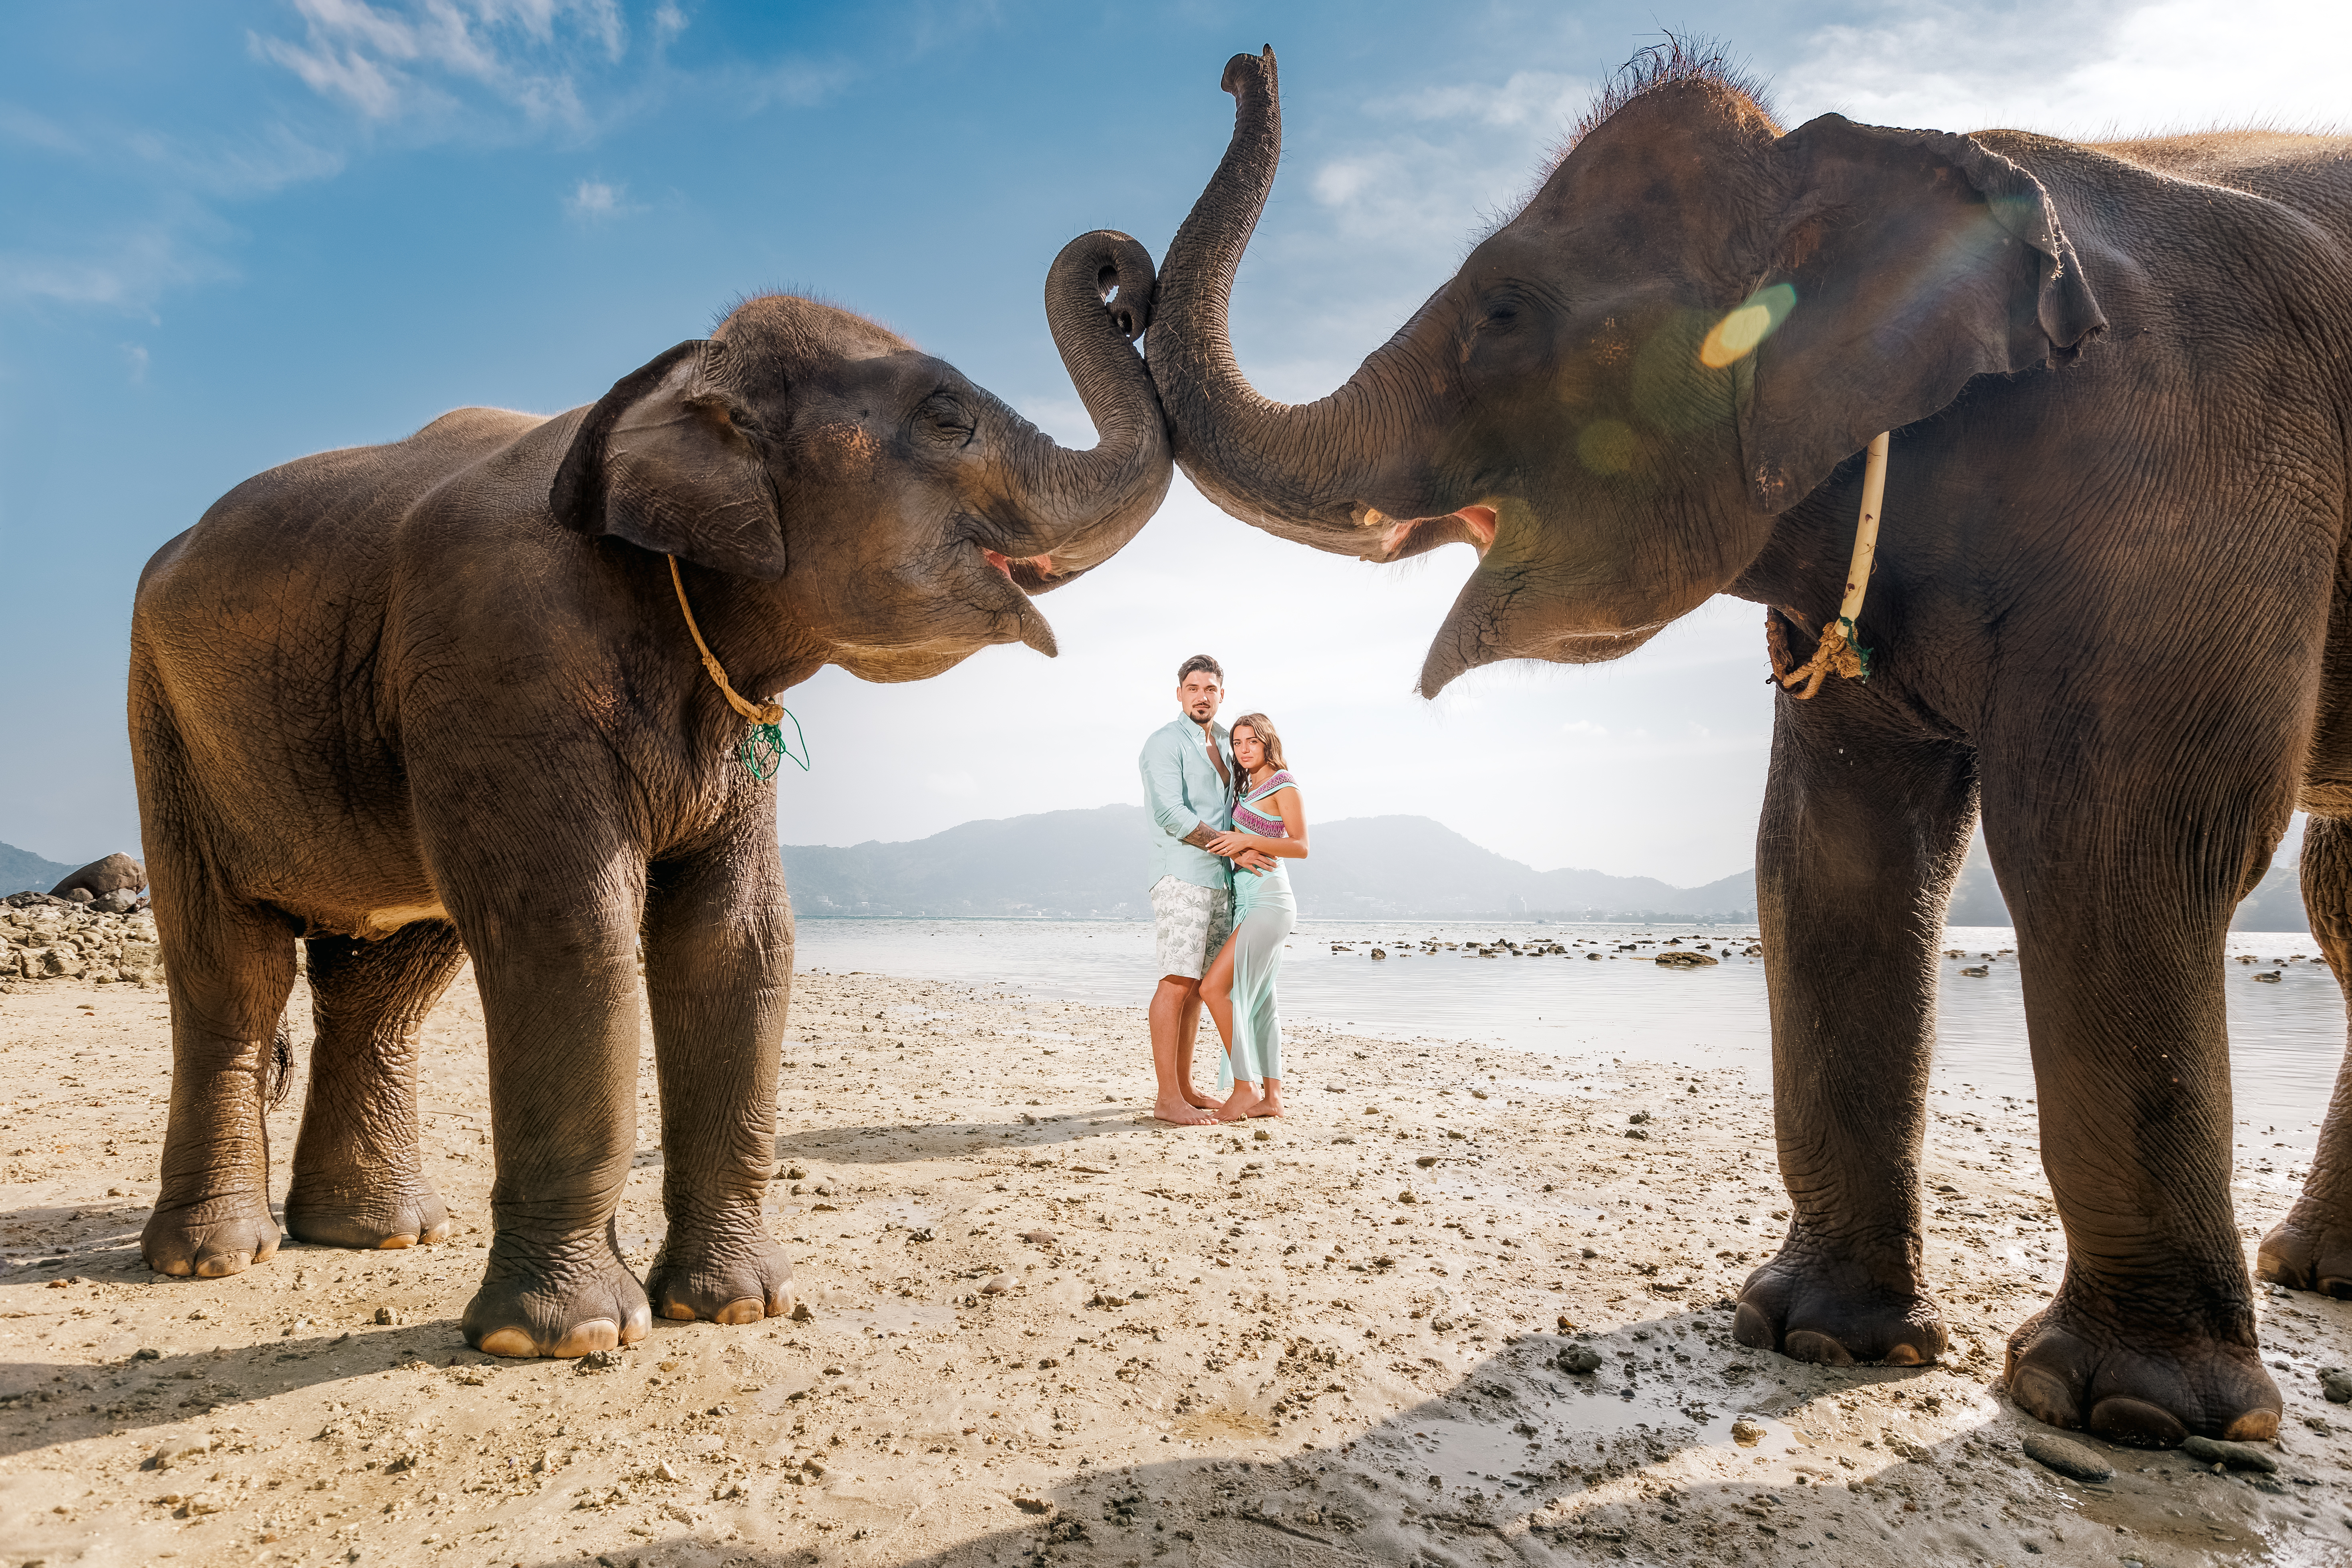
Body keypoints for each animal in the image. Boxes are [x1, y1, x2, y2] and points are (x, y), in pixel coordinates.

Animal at [129, 230, 1168, 1358]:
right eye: (945, 418)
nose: (1123, 275)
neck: (669, 381)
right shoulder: (503, 654)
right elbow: (572, 927)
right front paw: (570, 1337)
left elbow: (737, 936)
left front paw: (738, 1306)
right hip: (169, 723)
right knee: (231, 964)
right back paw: (215, 1257)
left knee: (387, 979)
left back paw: (381, 1233)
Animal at [1145, 42, 2352, 1446]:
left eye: (1503, 312)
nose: (1244, 64)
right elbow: (1830, 859)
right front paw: (1818, 1336)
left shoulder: (2193, 477)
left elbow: (2114, 845)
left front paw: (2125, 1408)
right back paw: (2314, 1268)